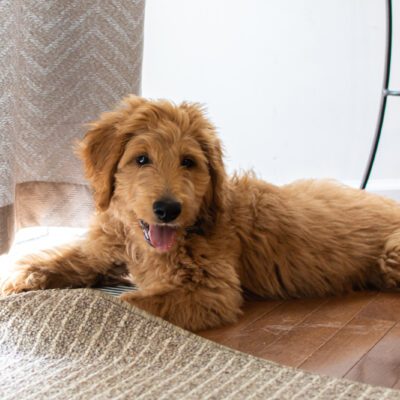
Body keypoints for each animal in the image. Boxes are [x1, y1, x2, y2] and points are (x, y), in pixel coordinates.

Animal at [2, 95, 400, 330]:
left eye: (188, 162)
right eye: (141, 159)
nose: (167, 209)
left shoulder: (212, 290)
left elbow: (132, 303)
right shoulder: (103, 250)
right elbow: (51, 263)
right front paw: (17, 283)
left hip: (391, 255)